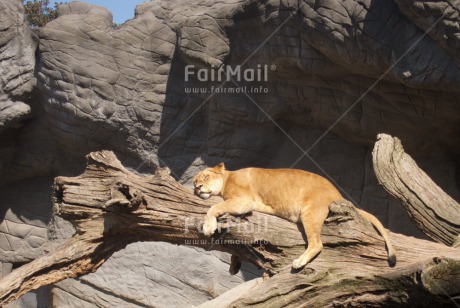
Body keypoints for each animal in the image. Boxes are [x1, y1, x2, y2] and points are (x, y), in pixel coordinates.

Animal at [192, 162, 398, 268]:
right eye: (194, 181)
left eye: (206, 177)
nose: (197, 187)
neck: (228, 179)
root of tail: (337, 195)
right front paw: (234, 265)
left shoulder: (244, 200)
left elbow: (215, 207)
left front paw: (208, 227)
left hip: (310, 213)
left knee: (317, 243)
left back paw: (299, 262)